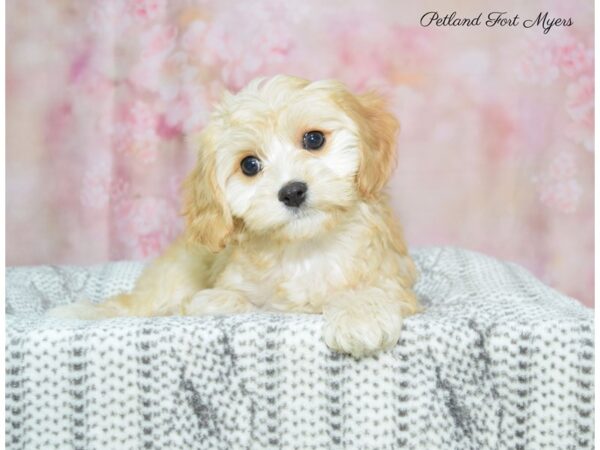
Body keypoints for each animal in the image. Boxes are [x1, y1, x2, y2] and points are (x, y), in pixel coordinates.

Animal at [49, 74, 420, 358]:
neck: (305, 247)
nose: (292, 192)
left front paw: (361, 317)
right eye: (249, 165)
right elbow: (234, 302)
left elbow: (376, 291)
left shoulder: (394, 279)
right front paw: (214, 301)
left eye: (314, 139)